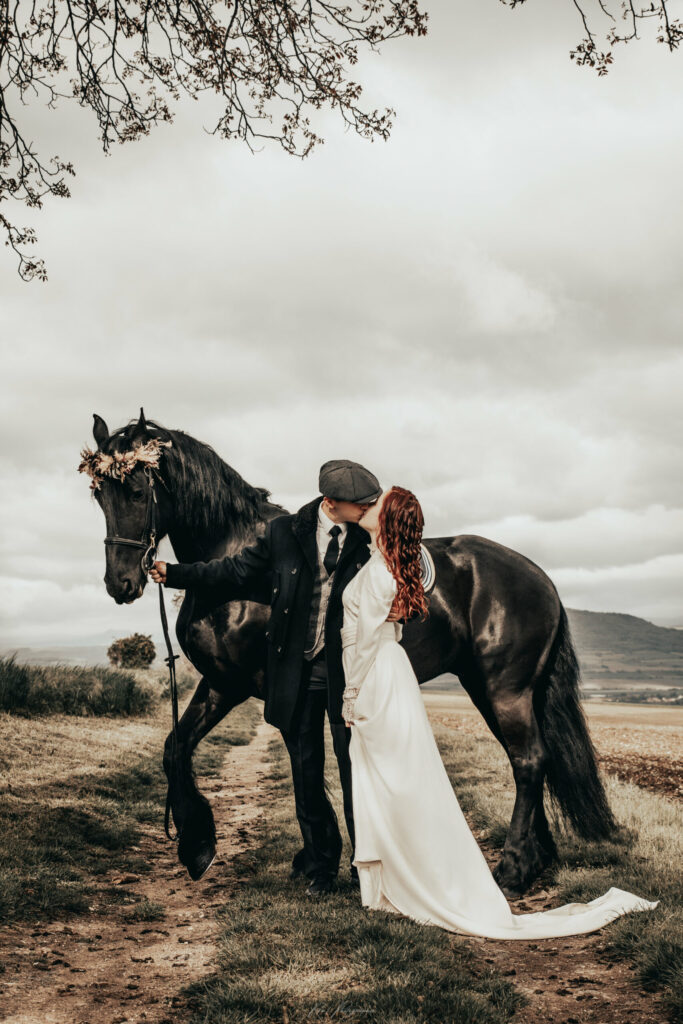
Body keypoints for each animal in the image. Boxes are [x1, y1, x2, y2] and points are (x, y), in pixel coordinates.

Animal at [81, 409, 617, 895]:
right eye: (98, 493)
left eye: (137, 490)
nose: (120, 583)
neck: (234, 566)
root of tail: (540, 578)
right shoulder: (221, 683)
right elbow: (177, 748)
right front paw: (198, 847)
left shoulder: (265, 689)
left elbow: (303, 768)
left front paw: (311, 861)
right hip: (493, 689)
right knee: (530, 758)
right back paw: (536, 861)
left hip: (505, 689)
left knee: (528, 760)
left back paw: (511, 871)